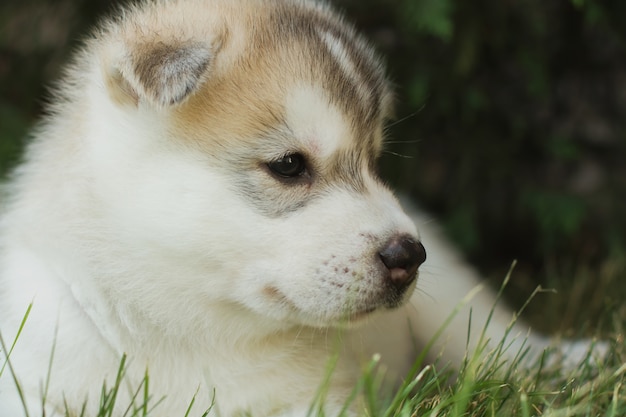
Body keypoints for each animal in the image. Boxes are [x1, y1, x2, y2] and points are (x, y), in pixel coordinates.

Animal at [0, 0, 600, 416]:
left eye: (375, 161)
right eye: (289, 165)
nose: (409, 255)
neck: (187, 328)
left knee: (496, 338)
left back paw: (570, 358)